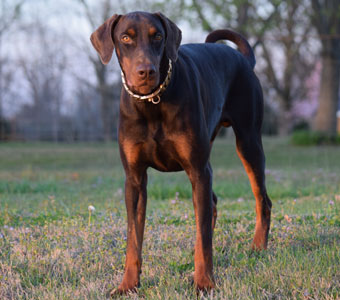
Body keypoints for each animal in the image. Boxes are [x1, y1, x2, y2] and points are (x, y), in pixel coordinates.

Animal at [90, 11, 270, 292]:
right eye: (126, 37)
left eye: (158, 36)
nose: (146, 71)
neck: (153, 103)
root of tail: (243, 58)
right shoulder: (134, 178)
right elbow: (133, 238)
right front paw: (128, 284)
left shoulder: (197, 170)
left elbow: (203, 237)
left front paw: (204, 282)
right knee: (212, 204)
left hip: (248, 141)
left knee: (261, 199)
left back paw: (258, 247)